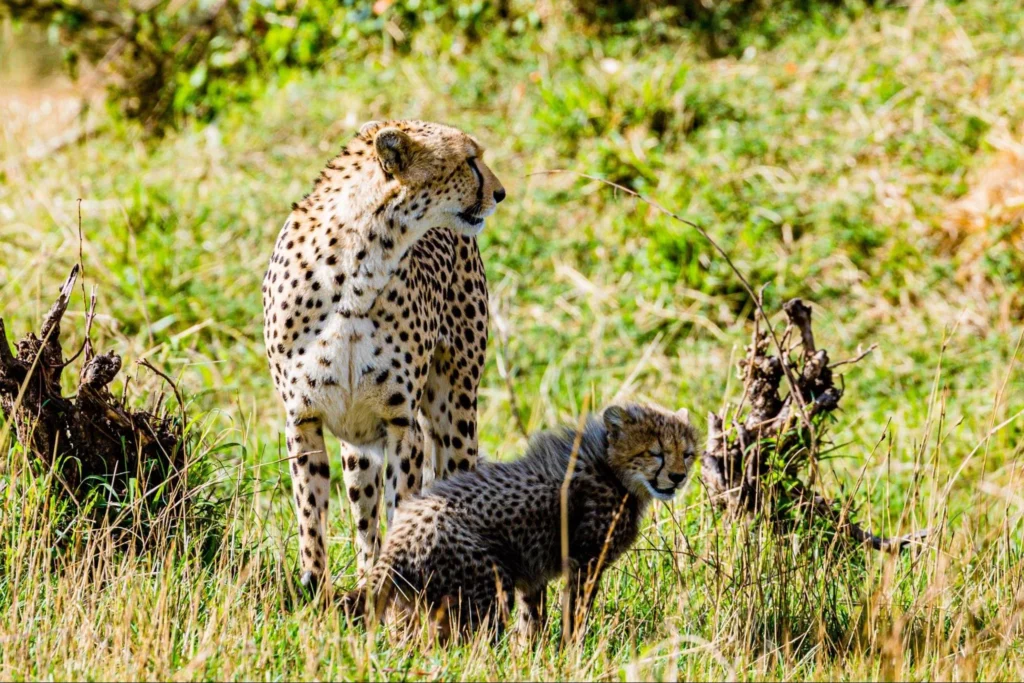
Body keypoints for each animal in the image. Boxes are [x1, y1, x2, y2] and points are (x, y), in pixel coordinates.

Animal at [262, 120, 505, 589]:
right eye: (469, 160)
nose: (500, 193)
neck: (357, 266)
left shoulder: (400, 423)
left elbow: (402, 506)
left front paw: (395, 585)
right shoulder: (304, 418)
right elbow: (310, 514)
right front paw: (314, 590)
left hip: (456, 411)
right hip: (358, 445)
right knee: (363, 520)